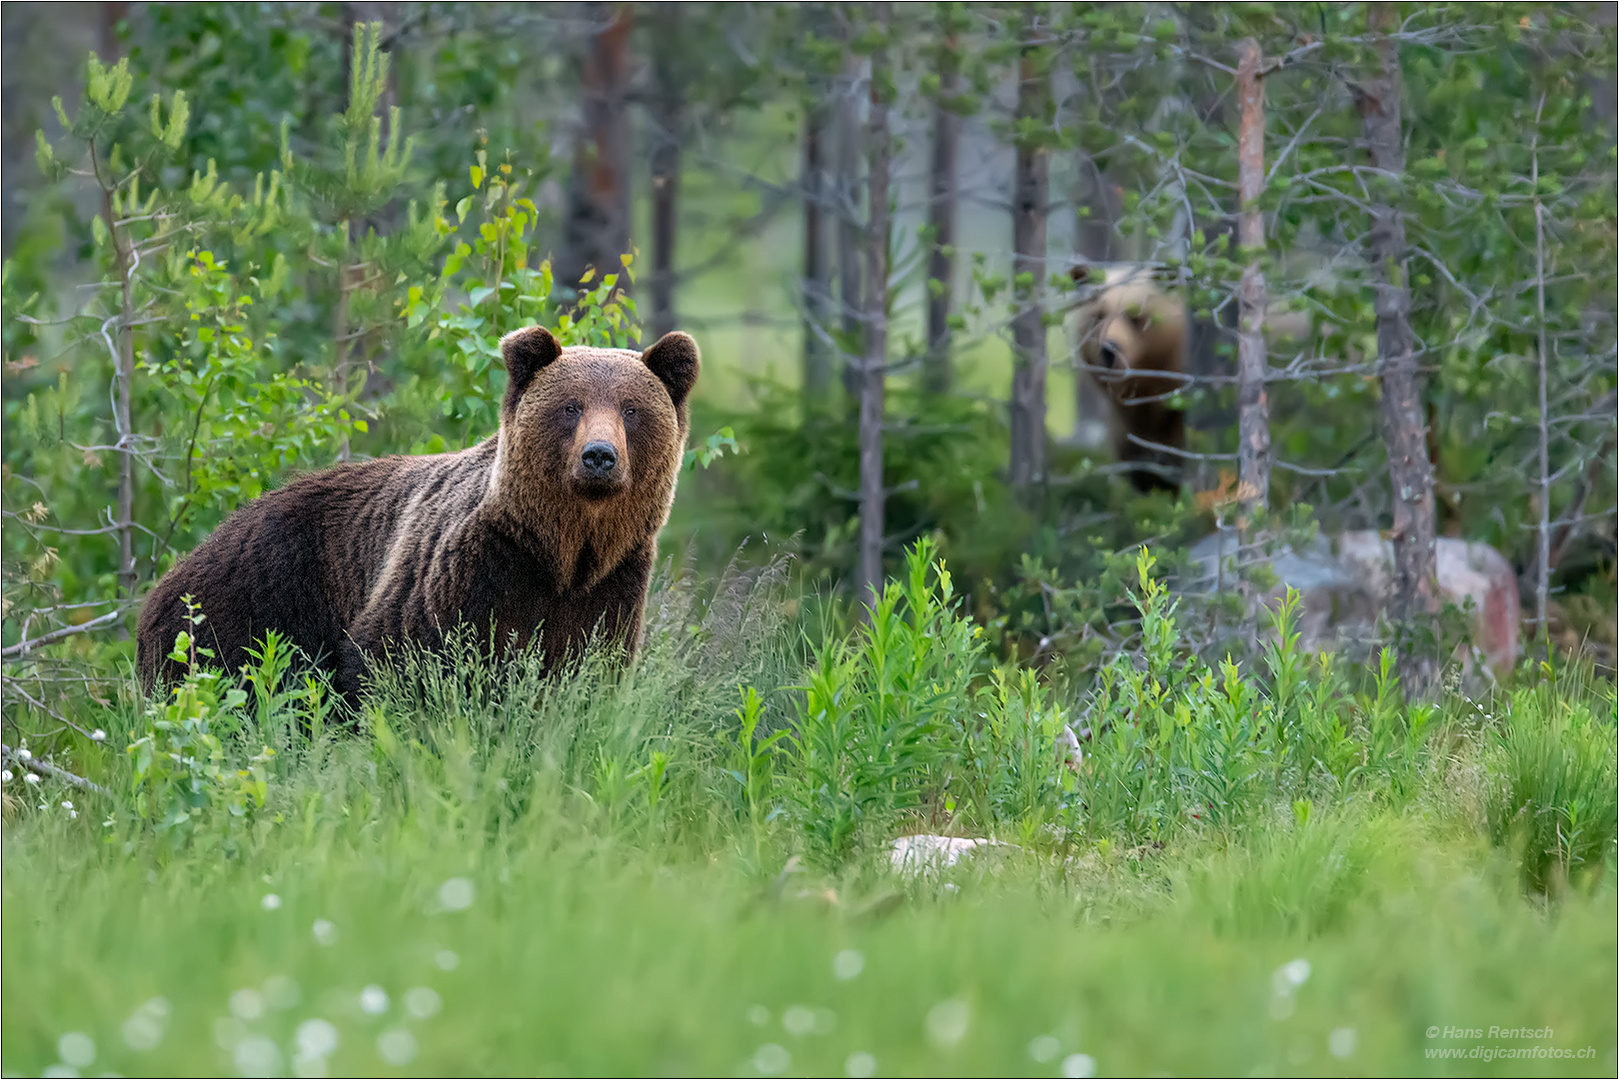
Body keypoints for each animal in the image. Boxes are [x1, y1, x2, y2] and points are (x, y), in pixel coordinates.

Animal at [137, 323, 696, 702]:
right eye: (571, 406)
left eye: (630, 408)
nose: (599, 456)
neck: (560, 552)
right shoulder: (465, 573)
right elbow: (393, 660)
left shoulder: (609, 589)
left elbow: (584, 677)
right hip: (254, 598)